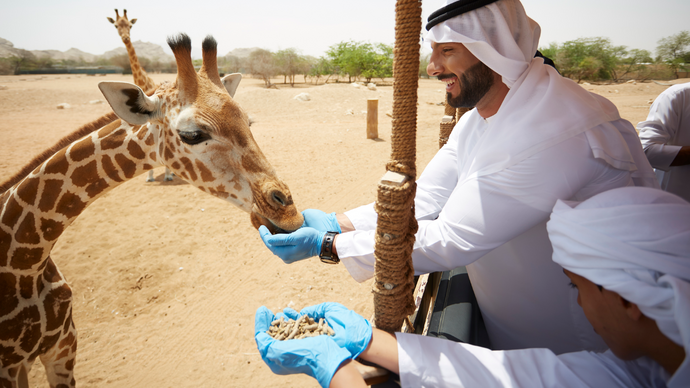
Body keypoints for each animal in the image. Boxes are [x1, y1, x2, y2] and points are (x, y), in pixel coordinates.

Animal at [0, 34, 302, 388]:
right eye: (193, 134)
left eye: (248, 122)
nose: (289, 215)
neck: (27, 262)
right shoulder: (11, 364)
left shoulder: (63, 347)